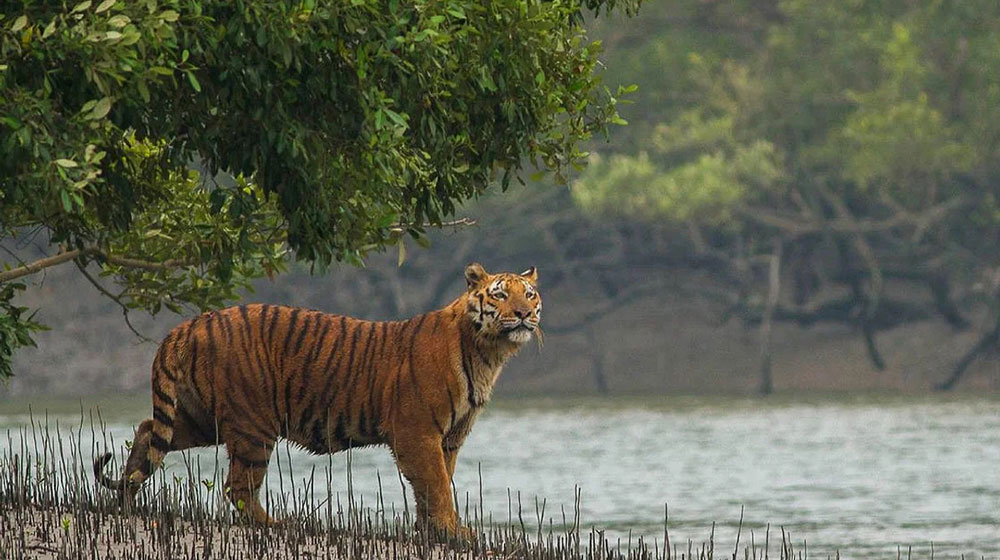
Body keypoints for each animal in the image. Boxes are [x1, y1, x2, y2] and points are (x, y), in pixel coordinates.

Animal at [93, 264, 544, 540]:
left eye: (530, 294)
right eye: (500, 295)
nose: (524, 314)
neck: (488, 352)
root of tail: (190, 323)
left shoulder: (449, 437)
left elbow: (436, 484)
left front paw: (432, 532)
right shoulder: (418, 432)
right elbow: (436, 485)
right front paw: (453, 532)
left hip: (201, 418)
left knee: (148, 431)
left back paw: (126, 497)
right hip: (253, 424)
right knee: (238, 486)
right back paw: (276, 524)